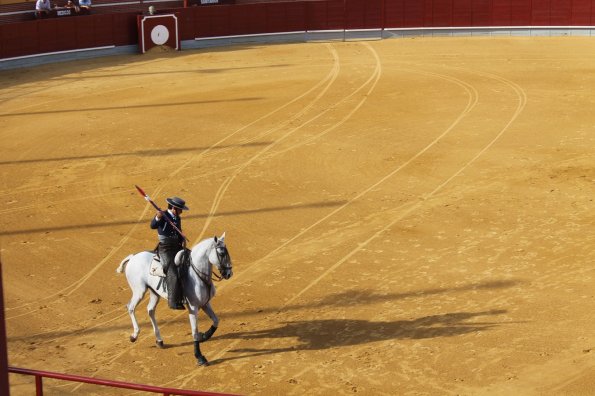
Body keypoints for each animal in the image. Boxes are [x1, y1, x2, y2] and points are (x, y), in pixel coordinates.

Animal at [116, 232, 233, 366]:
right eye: (222, 253)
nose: (229, 274)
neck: (197, 274)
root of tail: (133, 257)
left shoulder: (205, 304)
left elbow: (216, 320)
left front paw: (204, 336)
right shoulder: (193, 307)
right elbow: (194, 331)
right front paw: (199, 357)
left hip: (154, 293)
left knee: (150, 310)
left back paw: (159, 340)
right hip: (139, 291)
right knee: (131, 307)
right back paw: (134, 335)